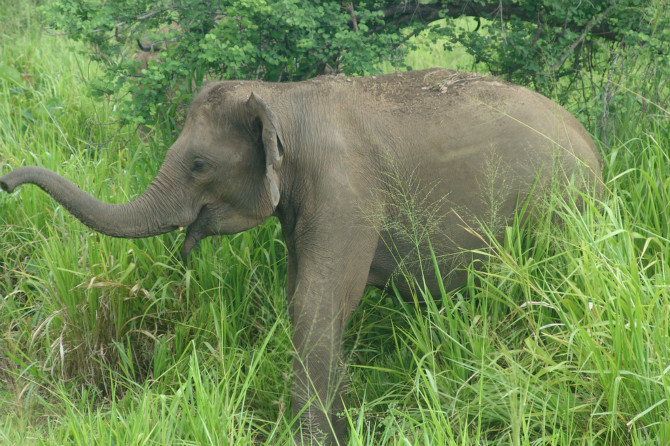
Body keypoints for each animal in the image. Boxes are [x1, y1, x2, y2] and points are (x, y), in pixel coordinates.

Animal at [0, 68, 600, 444]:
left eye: (197, 165)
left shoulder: (346, 188)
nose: (6, 182)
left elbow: (319, 300)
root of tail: (592, 144)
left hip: (559, 209)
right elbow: (301, 296)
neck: (283, 97)